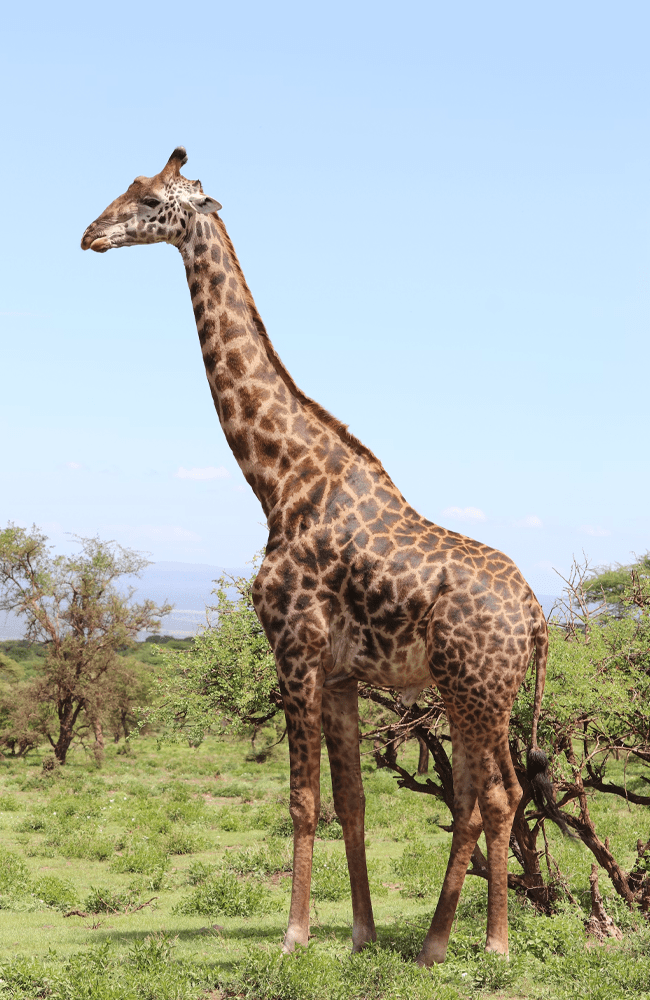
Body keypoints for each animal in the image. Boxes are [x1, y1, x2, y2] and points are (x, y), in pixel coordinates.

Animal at [81, 147, 552, 965]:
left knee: (498, 795)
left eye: (146, 198)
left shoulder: (293, 649)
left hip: (479, 691)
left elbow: (303, 801)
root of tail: (534, 615)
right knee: (480, 795)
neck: (278, 478)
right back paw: (433, 942)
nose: (90, 234)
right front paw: (361, 932)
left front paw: (294, 935)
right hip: (468, 692)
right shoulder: (338, 672)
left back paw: (489, 944)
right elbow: (352, 801)